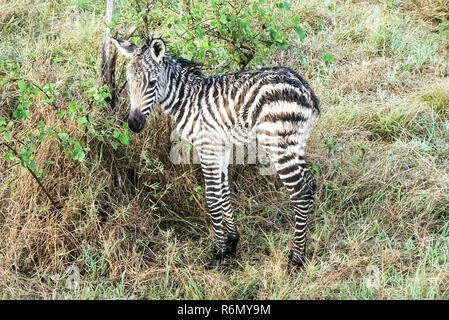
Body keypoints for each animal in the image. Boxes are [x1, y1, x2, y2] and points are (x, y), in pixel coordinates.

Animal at [110, 36, 318, 268]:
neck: (188, 100)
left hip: (277, 143)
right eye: (128, 82)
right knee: (311, 184)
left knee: (300, 191)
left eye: (153, 83)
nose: (134, 124)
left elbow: (212, 197)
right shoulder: (221, 146)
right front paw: (232, 242)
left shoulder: (207, 146)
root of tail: (306, 89)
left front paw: (218, 253)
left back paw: (297, 258)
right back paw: (304, 245)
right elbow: (224, 191)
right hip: (295, 143)